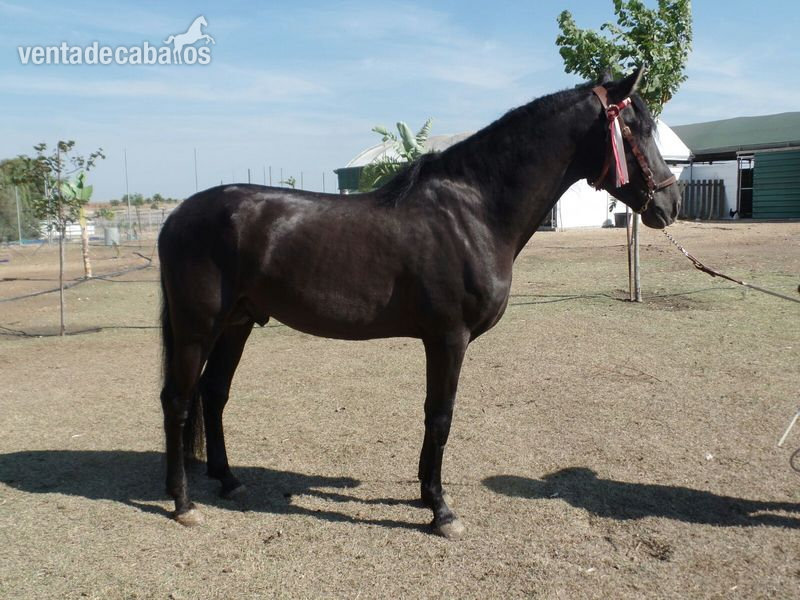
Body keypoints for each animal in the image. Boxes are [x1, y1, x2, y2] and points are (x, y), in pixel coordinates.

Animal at [158, 67, 681, 539]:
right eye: (633, 127)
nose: (669, 204)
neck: (473, 213)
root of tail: (177, 215)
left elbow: (434, 416)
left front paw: (425, 494)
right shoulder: (449, 338)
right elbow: (440, 414)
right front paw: (441, 510)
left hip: (237, 323)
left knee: (214, 393)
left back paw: (228, 481)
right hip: (197, 328)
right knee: (178, 400)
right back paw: (183, 503)